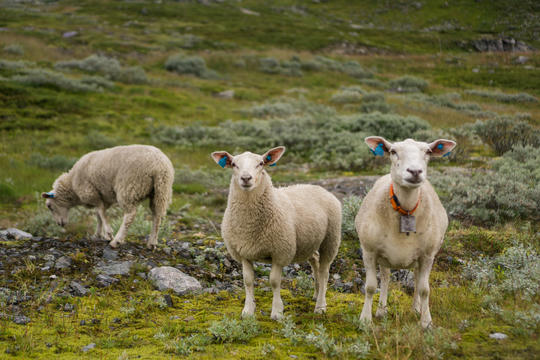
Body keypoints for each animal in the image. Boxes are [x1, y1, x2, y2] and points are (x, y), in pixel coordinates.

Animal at [42, 145, 173, 249]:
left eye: (49, 206)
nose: (60, 224)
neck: (72, 185)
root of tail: (159, 166)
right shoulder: (103, 197)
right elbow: (99, 215)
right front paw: (98, 235)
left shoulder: (91, 193)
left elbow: (100, 212)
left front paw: (108, 234)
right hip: (161, 191)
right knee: (157, 216)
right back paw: (152, 243)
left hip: (129, 187)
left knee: (130, 215)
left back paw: (117, 241)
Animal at [212, 145, 342, 320]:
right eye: (233, 164)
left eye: (261, 163)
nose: (246, 178)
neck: (249, 226)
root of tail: (319, 188)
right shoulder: (243, 252)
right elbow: (248, 280)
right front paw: (248, 311)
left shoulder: (280, 252)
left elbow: (274, 281)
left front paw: (277, 312)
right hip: (309, 241)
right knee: (315, 261)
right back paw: (315, 294)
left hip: (331, 239)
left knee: (324, 272)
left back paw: (320, 306)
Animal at [354, 136, 456, 328]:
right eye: (393, 151)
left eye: (428, 151)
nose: (415, 171)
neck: (406, 209)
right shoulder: (369, 251)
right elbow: (370, 286)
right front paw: (365, 319)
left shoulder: (427, 255)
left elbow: (424, 289)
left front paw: (426, 321)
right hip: (384, 257)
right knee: (386, 278)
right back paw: (381, 310)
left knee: (416, 279)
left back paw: (416, 309)